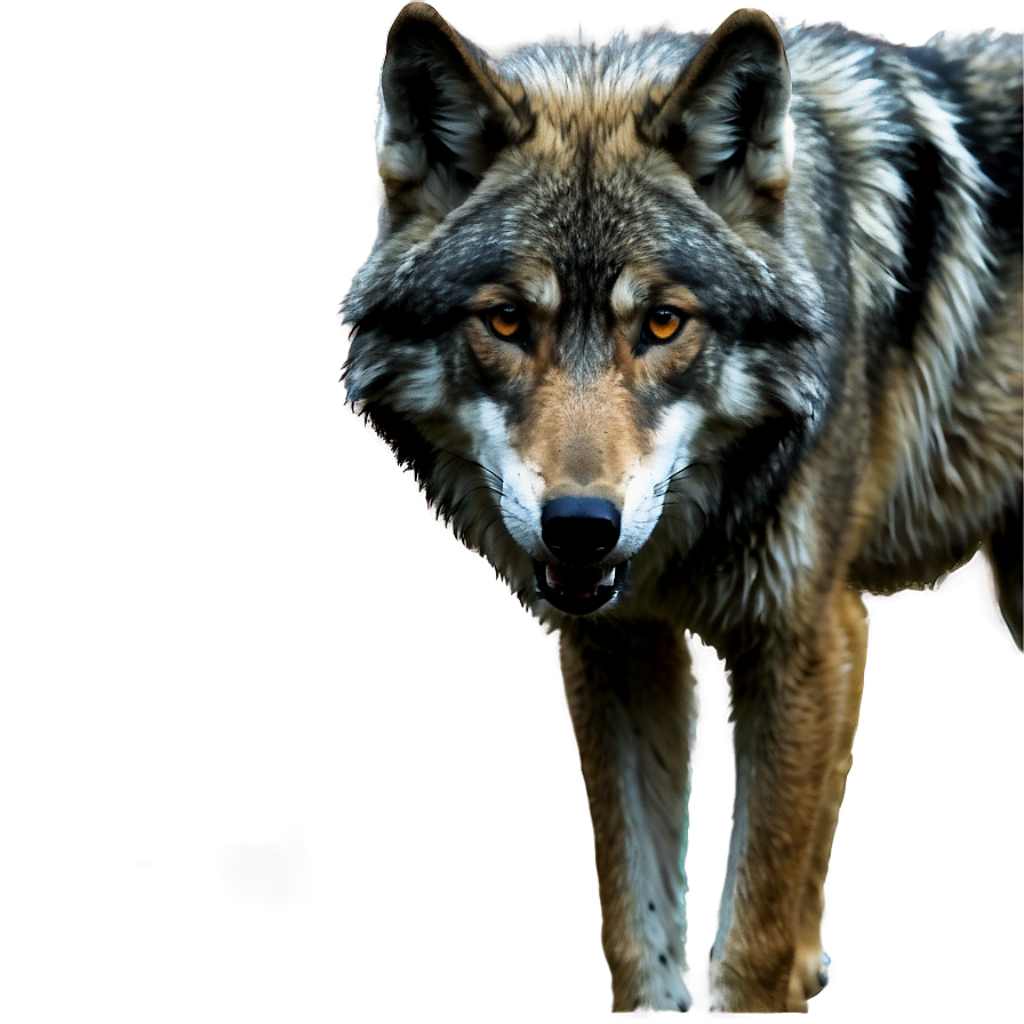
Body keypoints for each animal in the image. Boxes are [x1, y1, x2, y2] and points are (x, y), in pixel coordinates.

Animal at [338, 4, 1022, 1014]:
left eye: (663, 323)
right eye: (507, 323)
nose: (581, 526)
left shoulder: (805, 630)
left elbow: (754, 941)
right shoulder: (623, 649)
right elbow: (640, 929)